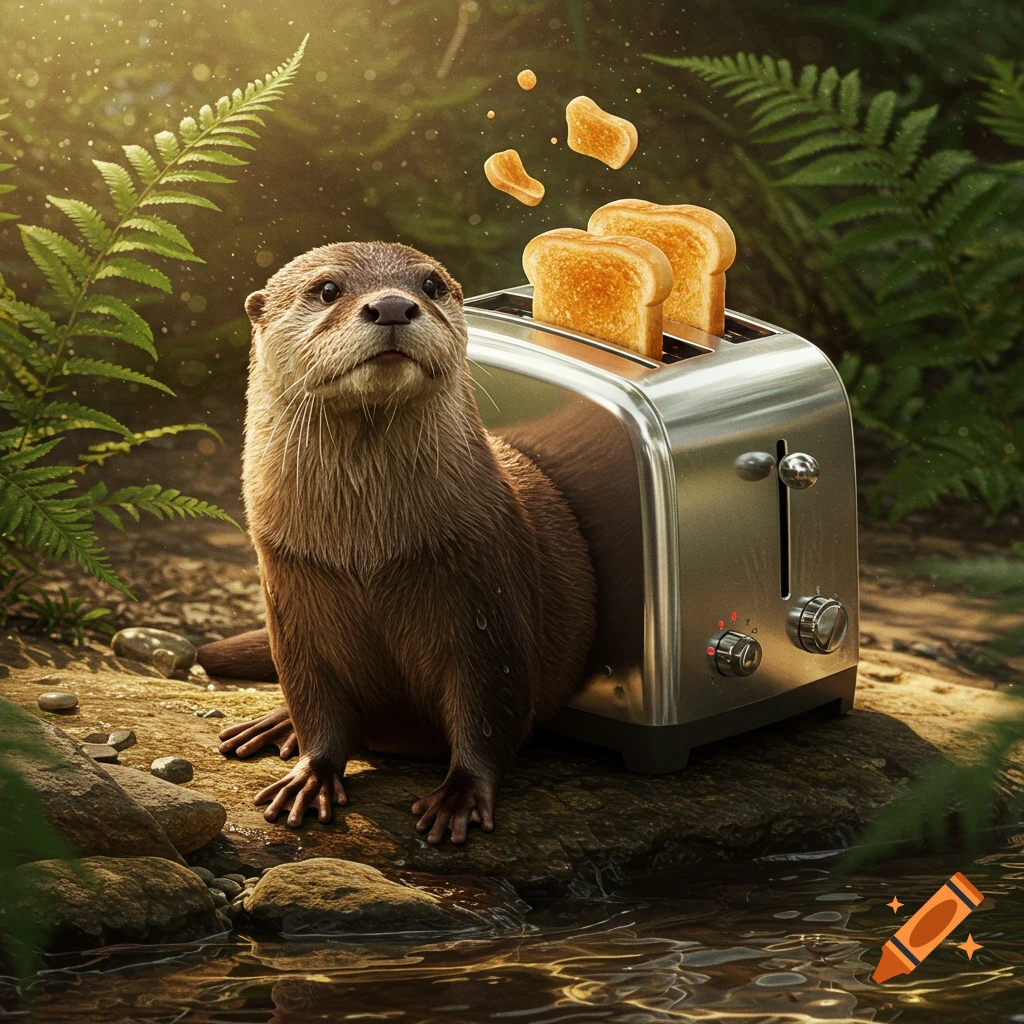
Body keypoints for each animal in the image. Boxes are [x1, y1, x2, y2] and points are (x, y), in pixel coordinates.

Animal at [199, 242, 597, 844]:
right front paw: (310, 776)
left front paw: (460, 797)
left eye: (431, 284)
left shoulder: (488, 591)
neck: (368, 551)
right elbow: (313, 699)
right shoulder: (290, 592)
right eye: (327, 289)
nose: (390, 305)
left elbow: (492, 705)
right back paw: (273, 726)